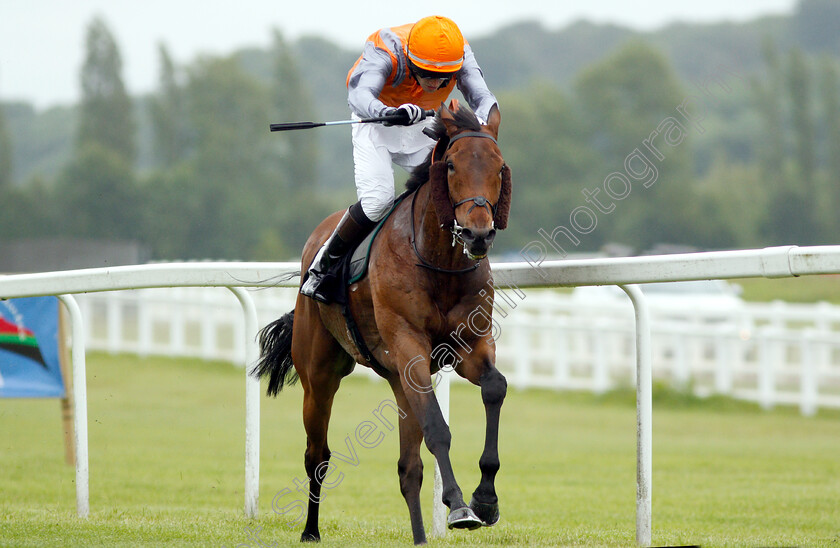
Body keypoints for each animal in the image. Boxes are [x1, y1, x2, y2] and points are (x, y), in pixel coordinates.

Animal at [253, 101, 512, 544]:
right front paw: (459, 505)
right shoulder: (411, 349)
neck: (440, 262)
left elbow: (495, 387)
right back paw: (310, 530)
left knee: (409, 469)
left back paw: (421, 536)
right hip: (319, 375)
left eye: (498, 167)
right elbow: (437, 427)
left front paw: (486, 499)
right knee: (317, 455)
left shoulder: (468, 346)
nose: (478, 234)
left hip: (395, 380)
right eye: (451, 166)